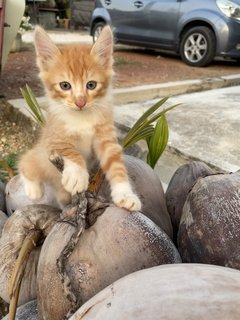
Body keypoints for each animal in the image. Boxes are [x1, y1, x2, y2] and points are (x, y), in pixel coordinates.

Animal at [19, 26, 142, 211]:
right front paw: (77, 174)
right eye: (65, 85)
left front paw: (125, 194)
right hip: (39, 157)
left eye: (91, 85)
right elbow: (69, 149)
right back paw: (34, 189)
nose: (80, 102)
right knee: (26, 163)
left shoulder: (106, 138)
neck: (82, 117)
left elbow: (116, 164)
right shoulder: (52, 138)